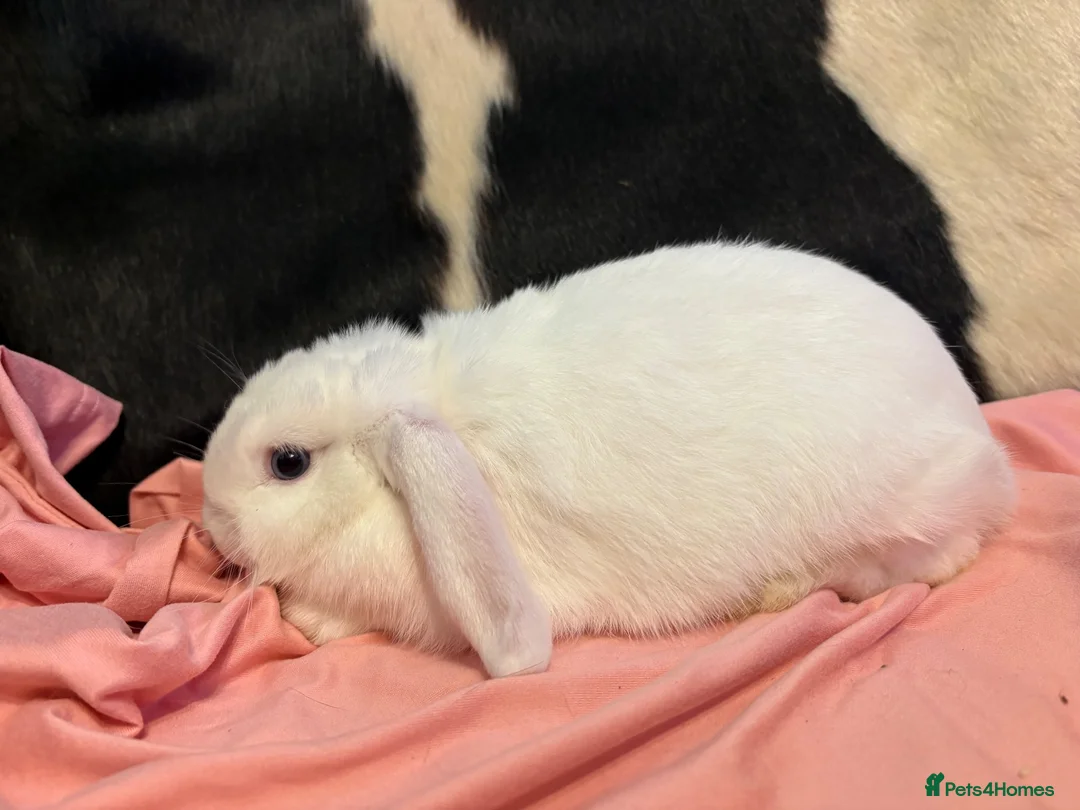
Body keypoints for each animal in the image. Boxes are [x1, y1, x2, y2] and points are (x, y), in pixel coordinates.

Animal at [200, 240, 1017, 679]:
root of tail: (978, 437)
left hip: (900, 510)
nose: (210, 522)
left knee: (934, 560)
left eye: (287, 462)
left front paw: (308, 618)